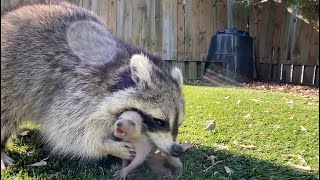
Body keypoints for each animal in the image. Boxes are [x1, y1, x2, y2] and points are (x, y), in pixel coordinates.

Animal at [0, 0, 184, 172]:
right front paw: (104, 146)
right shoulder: (76, 90)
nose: (177, 150)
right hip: (9, 79)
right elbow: (68, 132)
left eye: (179, 123)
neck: (118, 68)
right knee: (6, 114)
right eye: (160, 121)